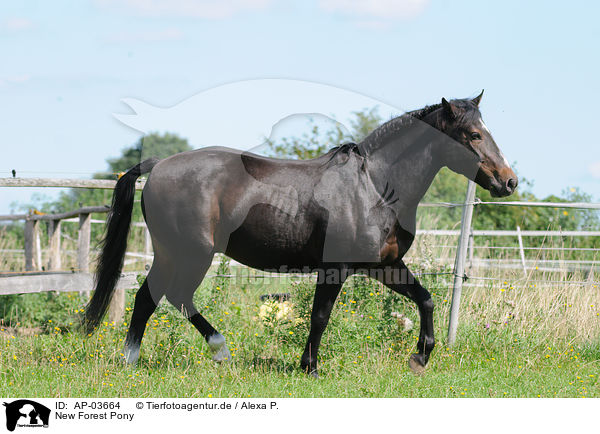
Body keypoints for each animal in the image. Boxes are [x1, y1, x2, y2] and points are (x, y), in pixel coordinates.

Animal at [83, 91, 516, 376]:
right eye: (474, 135)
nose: (509, 181)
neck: (375, 187)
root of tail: (159, 165)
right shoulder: (336, 267)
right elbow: (320, 315)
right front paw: (310, 367)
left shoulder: (384, 266)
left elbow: (425, 300)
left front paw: (420, 357)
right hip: (190, 253)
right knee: (164, 296)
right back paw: (196, 353)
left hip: (178, 253)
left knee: (156, 297)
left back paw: (155, 358)